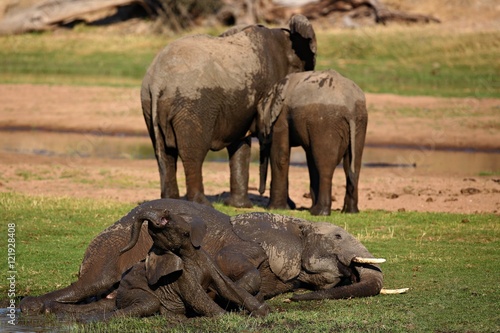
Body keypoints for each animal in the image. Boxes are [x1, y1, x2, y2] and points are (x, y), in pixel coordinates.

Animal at [142, 15, 316, 209]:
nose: (297, 204)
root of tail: (157, 81)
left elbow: (239, 144)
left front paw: (239, 206)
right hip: (192, 104)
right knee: (193, 153)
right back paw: (201, 204)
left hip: (149, 105)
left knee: (165, 154)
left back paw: (170, 201)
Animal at [256, 70, 370, 215]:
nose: (260, 192)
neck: (275, 89)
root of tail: (349, 107)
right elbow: (311, 160)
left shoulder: (282, 115)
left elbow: (280, 156)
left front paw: (275, 208)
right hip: (360, 122)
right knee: (352, 165)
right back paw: (350, 211)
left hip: (326, 122)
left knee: (325, 166)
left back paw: (319, 212)